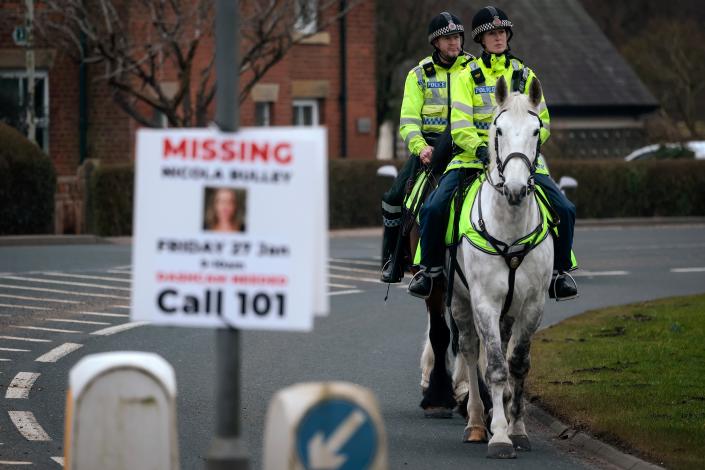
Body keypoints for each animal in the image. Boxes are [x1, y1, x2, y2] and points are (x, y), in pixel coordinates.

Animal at [448, 76, 552, 458]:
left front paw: (517, 428)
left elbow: (517, 364)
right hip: (460, 303)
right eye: (499, 129)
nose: (517, 188)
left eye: (537, 130)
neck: (510, 228)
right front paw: (500, 437)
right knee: (469, 349)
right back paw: (478, 423)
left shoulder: (533, 304)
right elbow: (493, 367)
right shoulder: (485, 303)